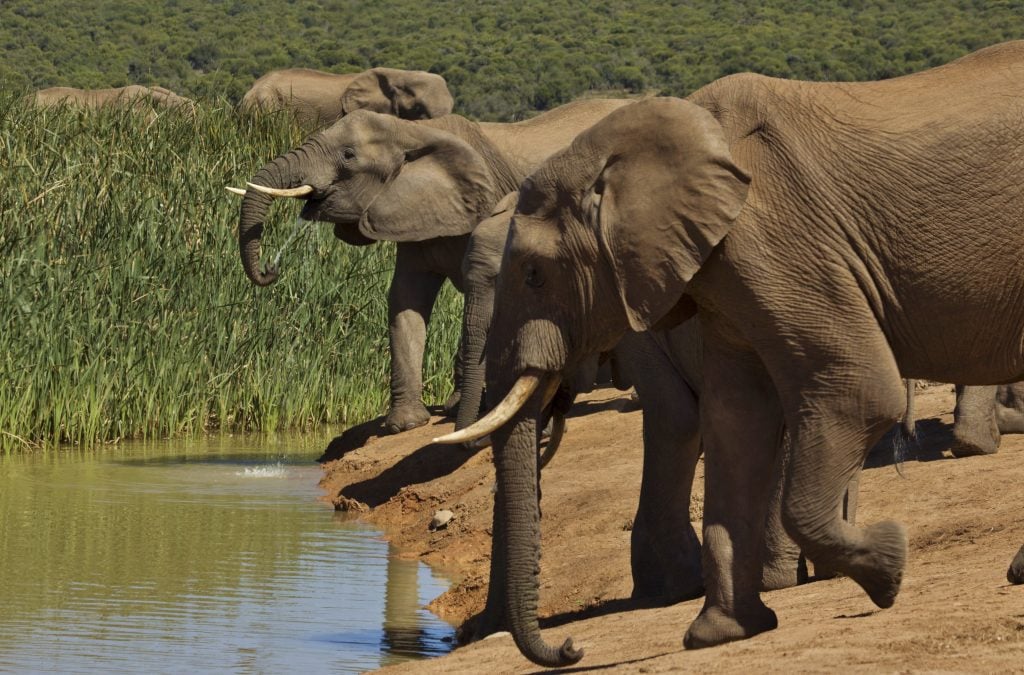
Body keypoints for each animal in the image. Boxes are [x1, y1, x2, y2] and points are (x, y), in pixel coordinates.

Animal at [229, 96, 634, 432]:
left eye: (348, 155)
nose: (269, 270)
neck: (412, 132)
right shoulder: (408, 208)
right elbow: (406, 298)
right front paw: (405, 424)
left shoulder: (483, 203)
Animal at [442, 43, 1024, 671]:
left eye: (533, 274)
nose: (573, 647)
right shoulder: (725, 268)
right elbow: (736, 420)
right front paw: (719, 634)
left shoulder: (777, 239)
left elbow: (854, 393)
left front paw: (889, 565)